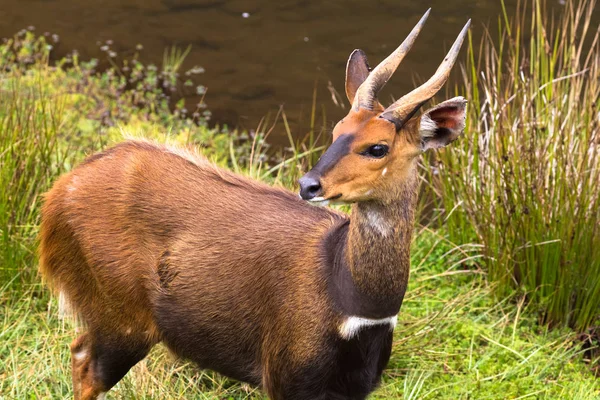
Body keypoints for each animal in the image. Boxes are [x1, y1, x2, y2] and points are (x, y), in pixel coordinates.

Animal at [38, 10, 468, 400]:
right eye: (336, 131)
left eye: (377, 147)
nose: (308, 185)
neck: (352, 304)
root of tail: (58, 193)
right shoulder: (284, 377)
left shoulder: (354, 388)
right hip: (122, 323)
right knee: (85, 365)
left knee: (78, 351)